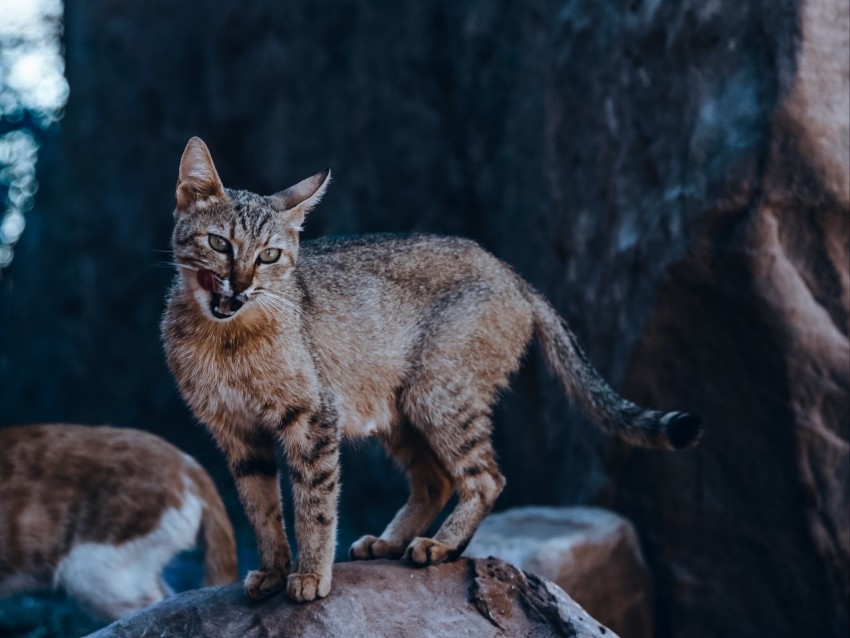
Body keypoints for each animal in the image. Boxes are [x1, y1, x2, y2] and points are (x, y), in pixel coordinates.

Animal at [162, 136, 700, 604]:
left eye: (270, 255)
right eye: (219, 244)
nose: (240, 284)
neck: (224, 342)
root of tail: (512, 273)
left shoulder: (313, 417)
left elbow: (313, 503)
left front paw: (311, 575)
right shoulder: (237, 433)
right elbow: (261, 508)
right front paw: (274, 570)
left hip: (437, 392)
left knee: (486, 478)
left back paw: (441, 545)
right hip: (398, 407)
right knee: (436, 480)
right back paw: (390, 541)